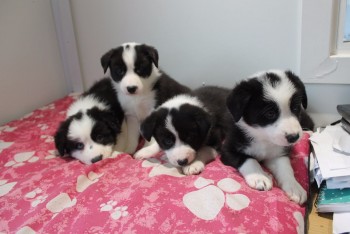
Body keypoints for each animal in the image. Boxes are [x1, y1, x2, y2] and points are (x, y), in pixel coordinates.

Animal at [220, 70, 314, 204]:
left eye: (295, 108)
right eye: (270, 113)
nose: (294, 137)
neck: (263, 138)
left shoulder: (278, 153)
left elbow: (286, 168)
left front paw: (294, 187)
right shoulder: (228, 149)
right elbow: (248, 159)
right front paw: (259, 176)